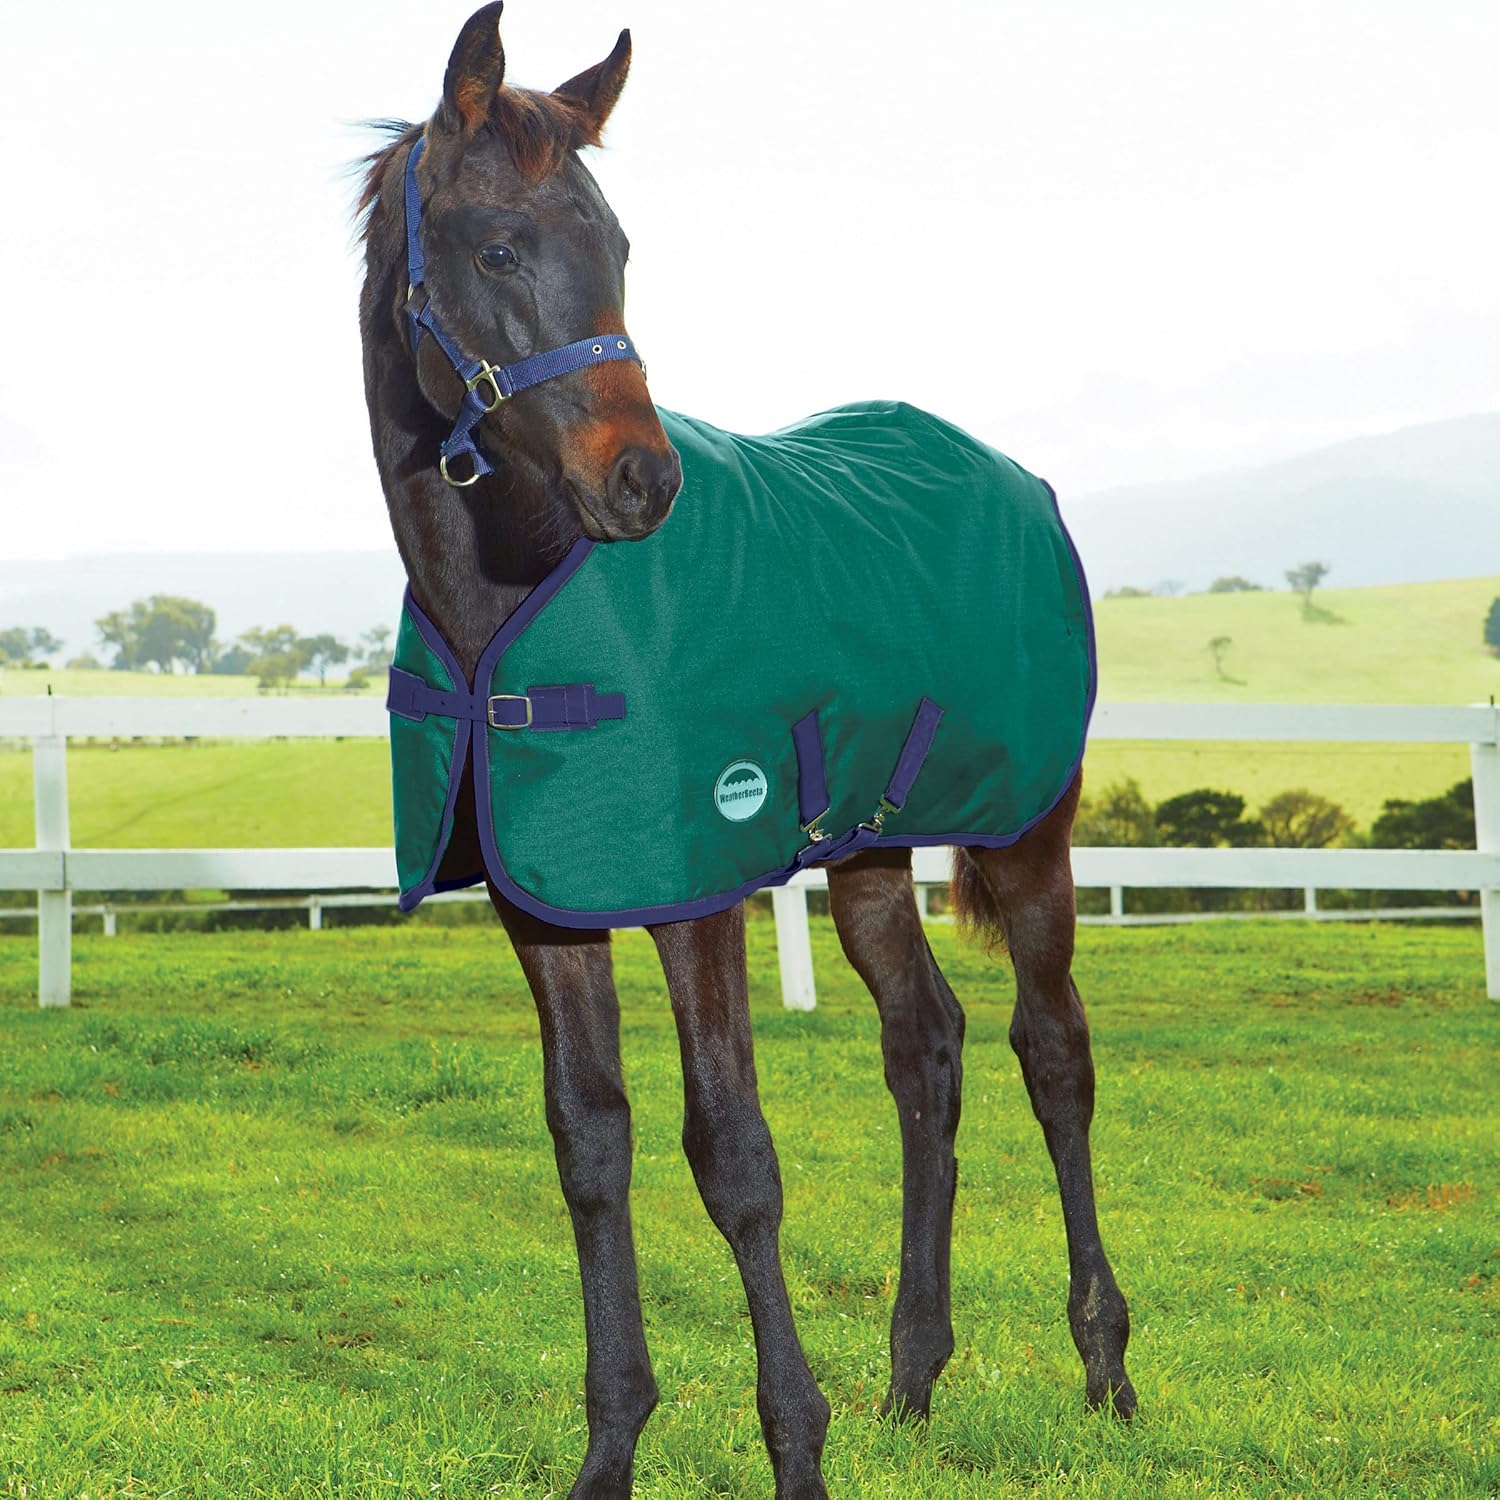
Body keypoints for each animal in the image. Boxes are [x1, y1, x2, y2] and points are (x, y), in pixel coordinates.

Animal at [355, 6, 1134, 1495]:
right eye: (498, 249)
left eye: (619, 246)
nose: (643, 483)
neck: (511, 592)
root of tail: (1016, 476)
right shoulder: (551, 909)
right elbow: (591, 1144)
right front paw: (612, 1449)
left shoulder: (696, 894)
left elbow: (732, 1157)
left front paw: (795, 1447)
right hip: (874, 849)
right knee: (925, 1046)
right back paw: (913, 1378)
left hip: (1029, 832)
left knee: (1052, 1052)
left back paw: (1107, 1369)